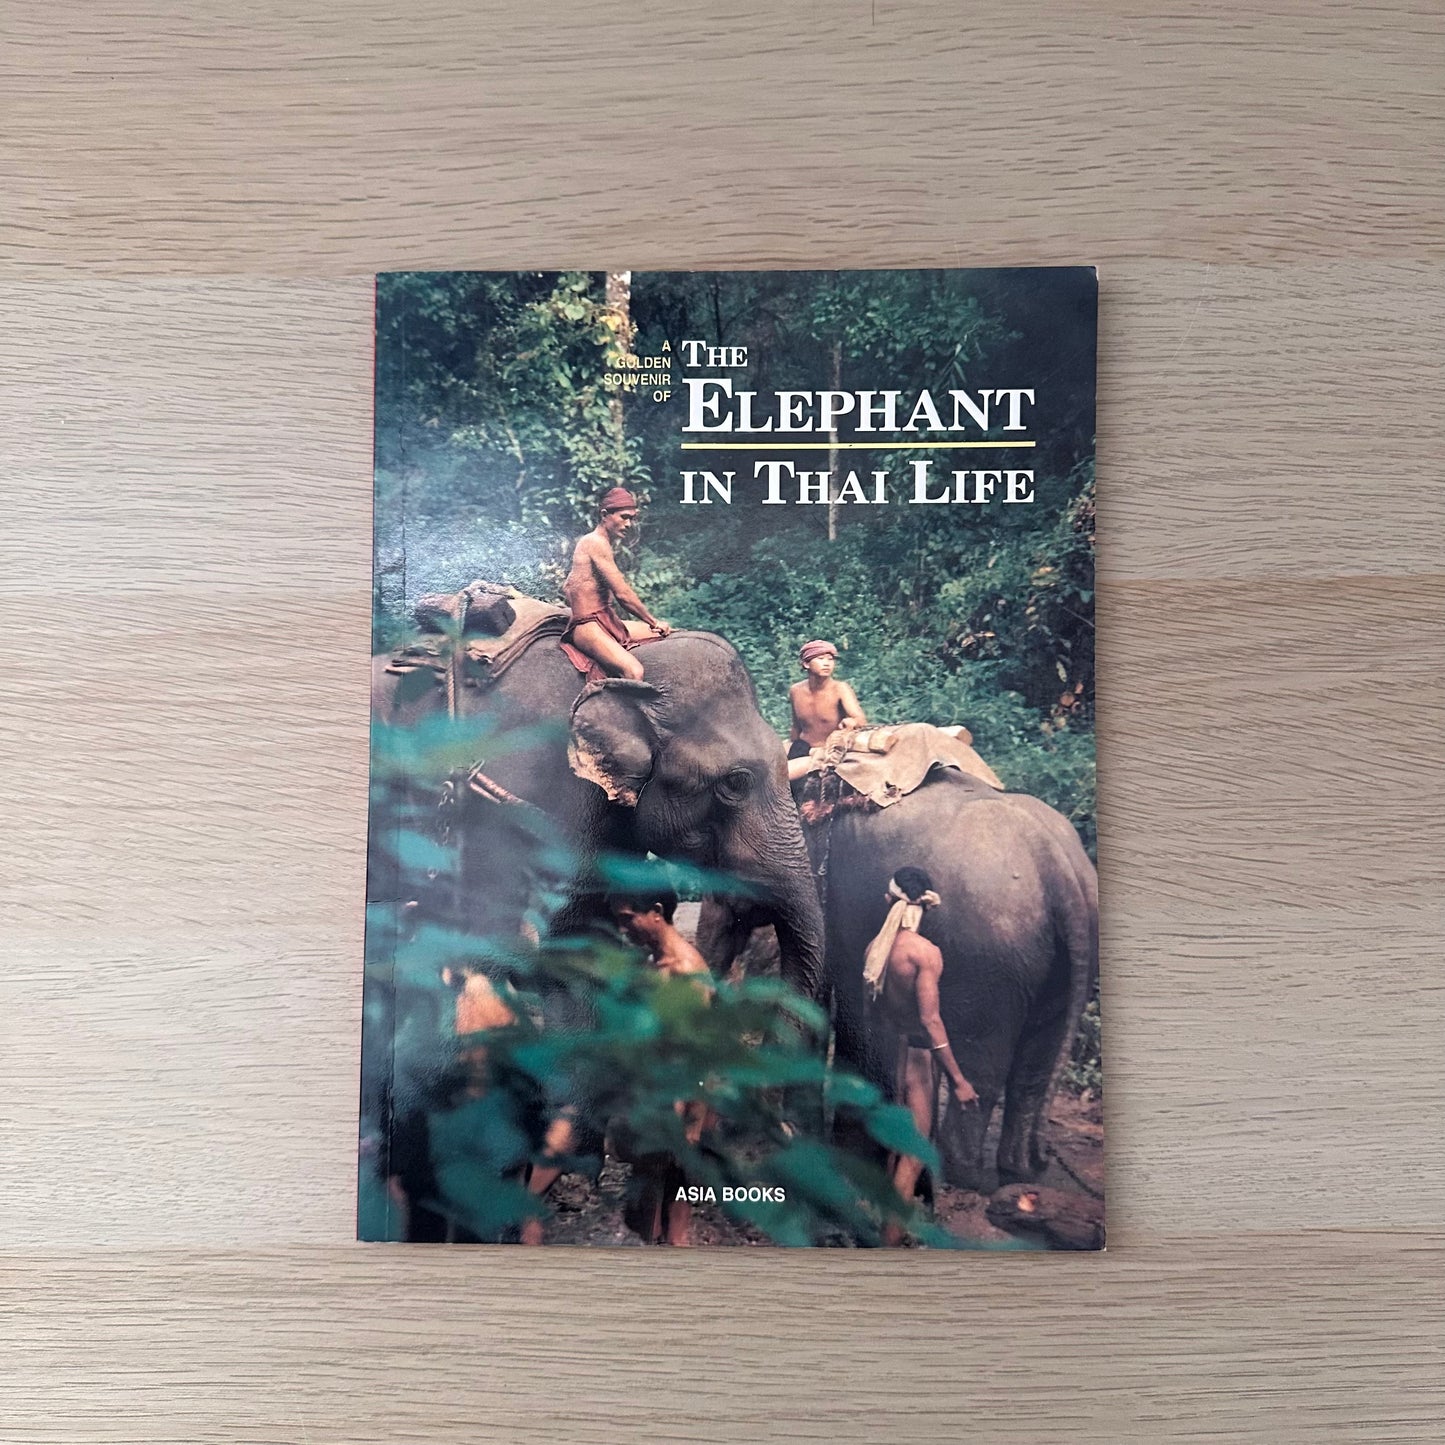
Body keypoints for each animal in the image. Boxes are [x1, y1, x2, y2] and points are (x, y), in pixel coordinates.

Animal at [700, 770, 1098, 1191]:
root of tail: (1058, 868)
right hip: (1057, 958)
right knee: (1033, 1066)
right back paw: (1016, 1172)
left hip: (993, 962)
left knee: (982, 1058)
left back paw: (963, 1174)